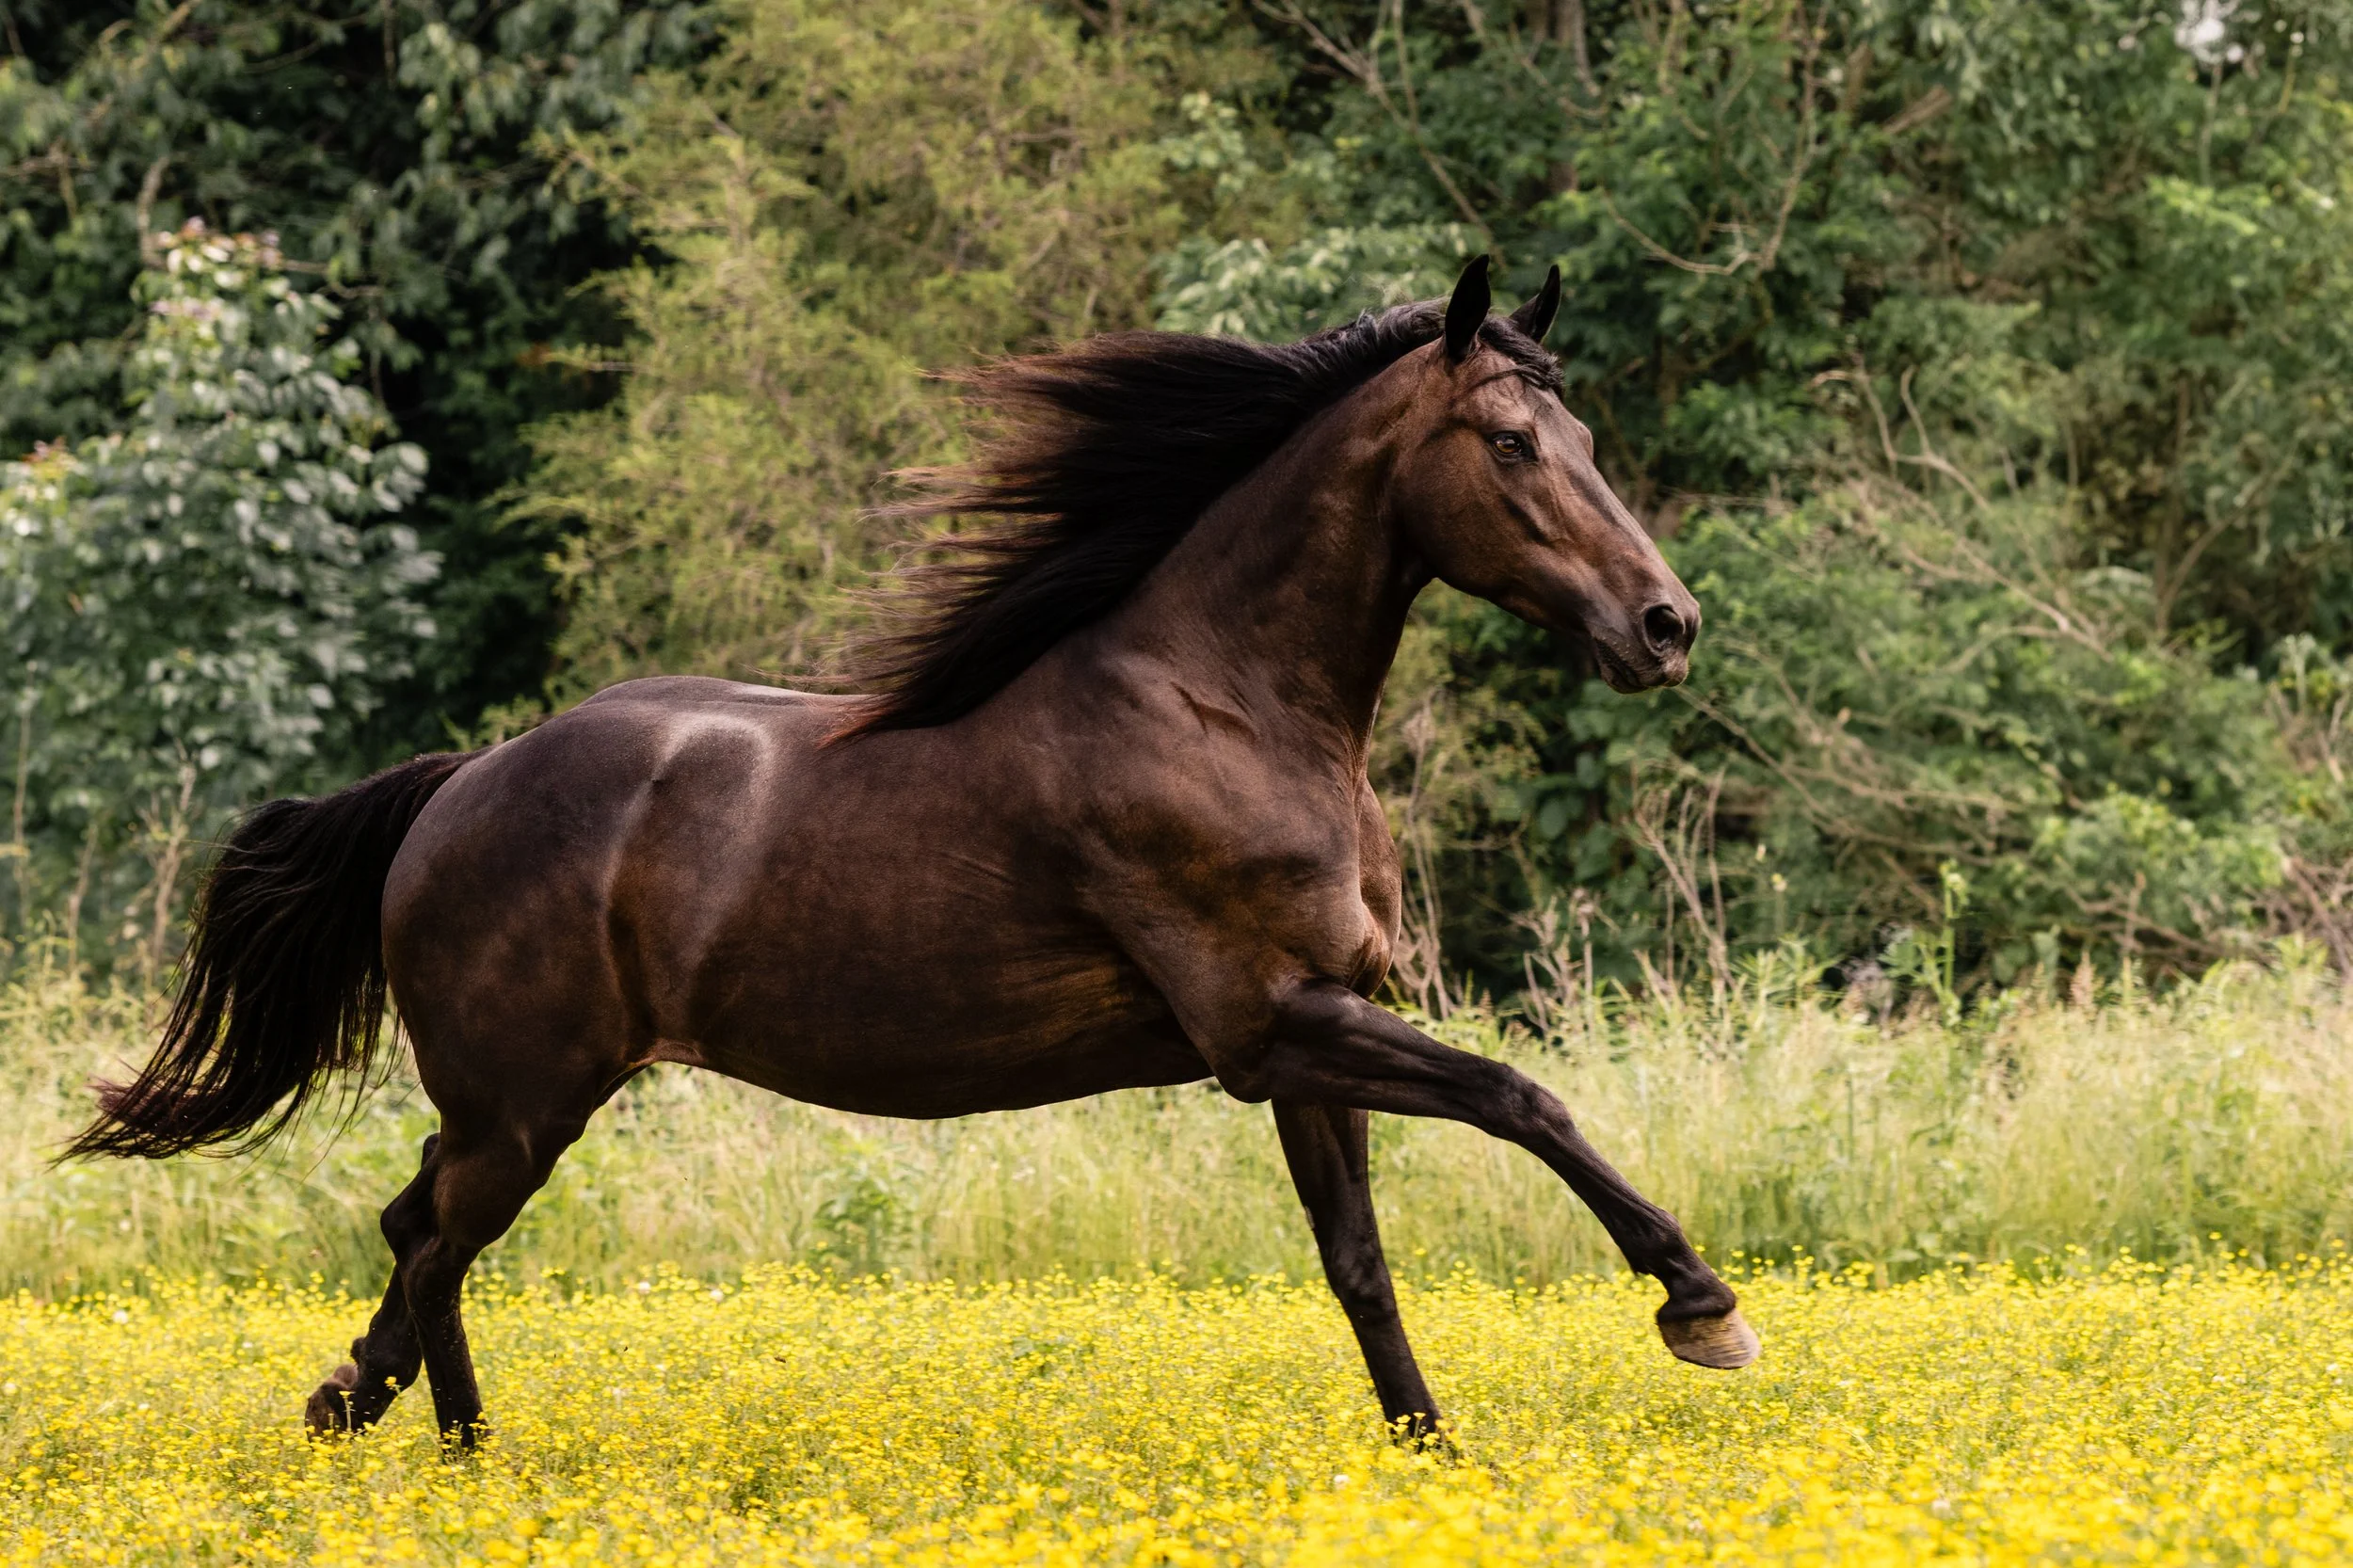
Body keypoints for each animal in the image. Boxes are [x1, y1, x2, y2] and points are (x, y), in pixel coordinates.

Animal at [71, 257, 1753, 1447]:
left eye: (1580, 432)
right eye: (1512, 441)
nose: (1665, 627)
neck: (1226, 702)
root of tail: (455, 786)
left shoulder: (1307, 1037)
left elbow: (1361, 1261)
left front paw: (1432, 1457)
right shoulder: (1267, 1026)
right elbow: (1522, 1096)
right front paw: (1702, 1303)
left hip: (509, 1105)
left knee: (413, 1226)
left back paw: (351, 1407)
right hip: (526, 1101)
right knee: (430, 1244)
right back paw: (466, 1456)